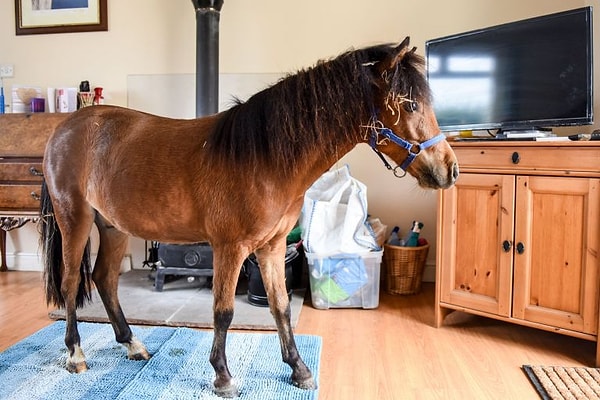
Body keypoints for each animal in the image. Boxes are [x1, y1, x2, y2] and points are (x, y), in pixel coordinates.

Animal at [39, 36, 458, 396]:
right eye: (410, 105)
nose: (450, 170)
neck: (263, 158)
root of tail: (64, 129)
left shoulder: (271, 246)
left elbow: (281, 306)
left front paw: (299, 370)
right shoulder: (230, 247)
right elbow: (223, 312)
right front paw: (223, 376)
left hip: (113, 226)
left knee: (105, 280)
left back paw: (132, 344)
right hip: (74, 219)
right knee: (72, 282)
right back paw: (75, 354)